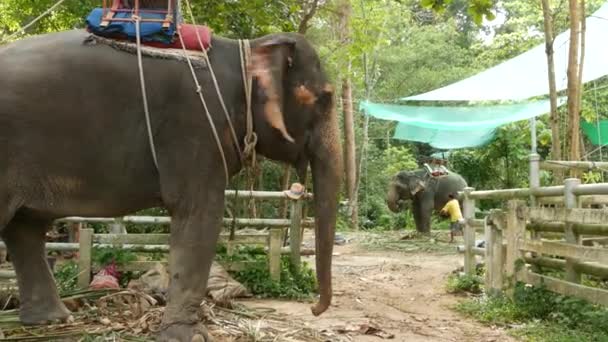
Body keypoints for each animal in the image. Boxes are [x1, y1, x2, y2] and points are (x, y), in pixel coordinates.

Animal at [0, 30, 342, 342]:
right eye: (325, 98)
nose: (314, 309)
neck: (244, 49)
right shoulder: (195, 128)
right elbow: (199, 216)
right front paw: (191, 337)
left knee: (26, 227)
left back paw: (52, 321)